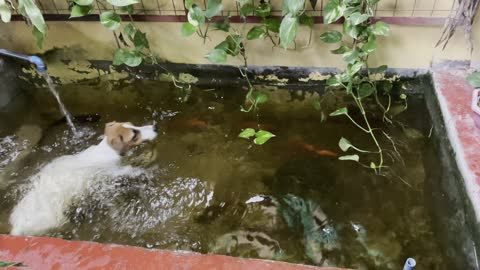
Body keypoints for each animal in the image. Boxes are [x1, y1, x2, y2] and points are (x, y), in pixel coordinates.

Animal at [9, 121, 158, 235]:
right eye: (134, 135)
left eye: (134, 125)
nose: (155, 127)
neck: (106, 149)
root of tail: (18, 227)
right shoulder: (112, 172)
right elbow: (128, 170)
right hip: (58, 222)